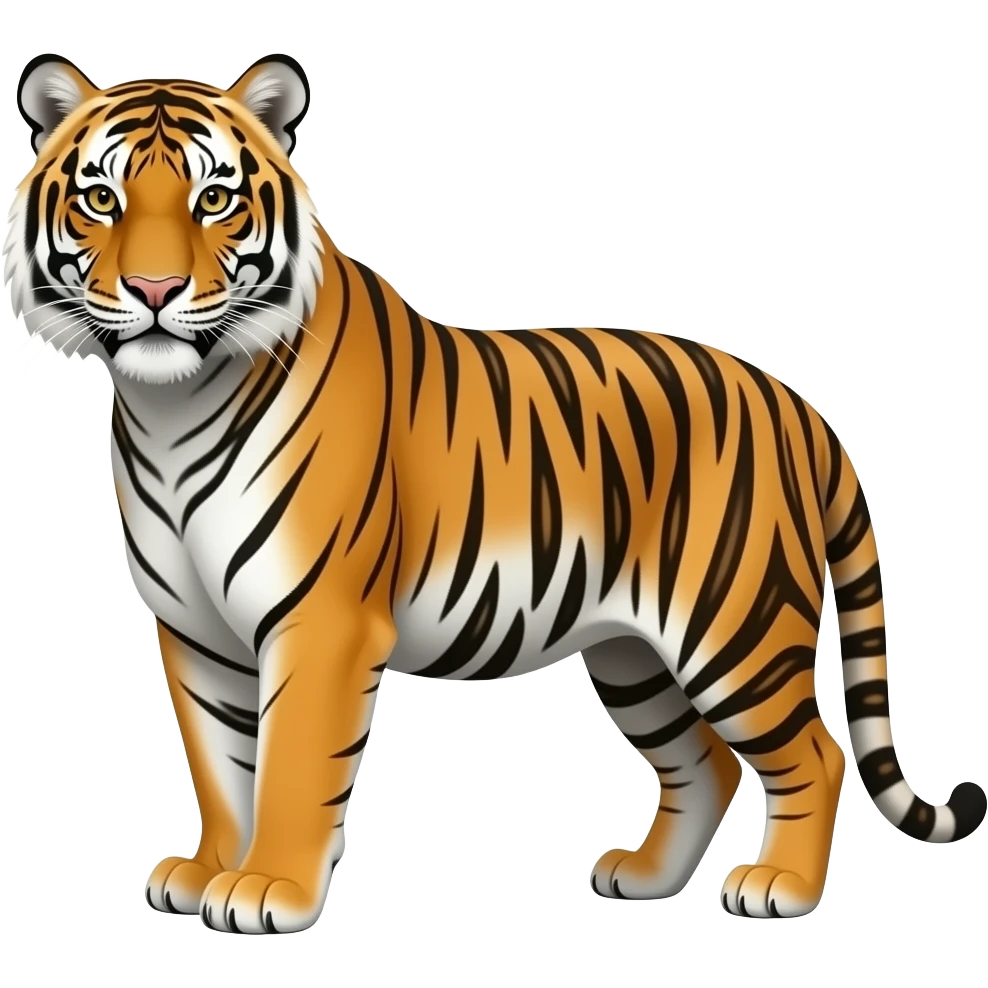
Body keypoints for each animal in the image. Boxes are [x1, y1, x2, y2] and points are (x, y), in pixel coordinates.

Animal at [5, 51, 984, 935]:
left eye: (214, 199)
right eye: (102, 199)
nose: (155, 289)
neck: (169, 406)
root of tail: (797, 404)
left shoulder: (319, 620)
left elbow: (288, 766)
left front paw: (266, 889)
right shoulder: (196, 630)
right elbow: (219, 765)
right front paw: (210, 871)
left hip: (734, 626)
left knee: (814, 753)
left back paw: (780, 888)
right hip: (632, 653)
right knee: (703, 762)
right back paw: (644, 878)